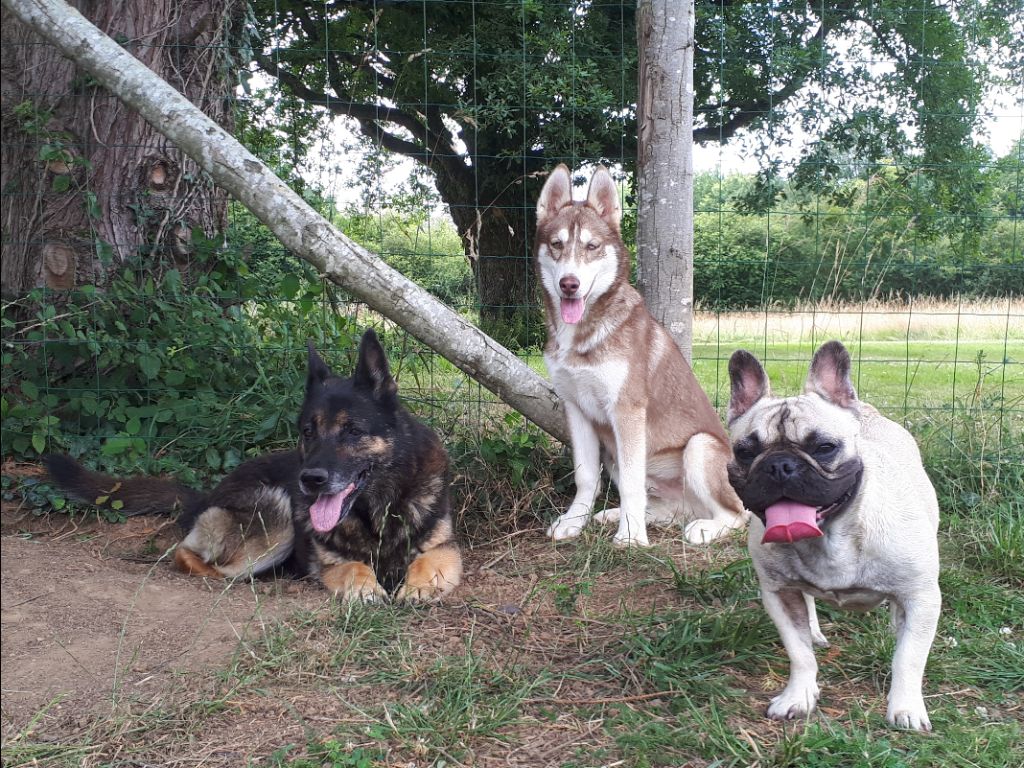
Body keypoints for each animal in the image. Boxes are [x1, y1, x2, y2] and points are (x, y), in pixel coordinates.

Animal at [46, 331, 462, 602]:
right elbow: (354, 567)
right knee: (184, 553)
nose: (310, 480)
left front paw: (417, 586)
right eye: (308, 432)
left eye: (353, 431)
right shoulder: (330, 561)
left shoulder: (446, 549)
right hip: (275, 514)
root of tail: (206, 496)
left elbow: (427, 562)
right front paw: (364, 586)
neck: (377, 511)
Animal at [536, 163, 745, 548]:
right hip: (618, 456)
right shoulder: (575, 407)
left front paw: (632, 537)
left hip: (699, 446)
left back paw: (704, 529)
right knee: (667, 507)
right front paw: (575, 522)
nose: (569, 284)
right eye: (557, 245)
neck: (583, 335)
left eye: (592, 246)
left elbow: (633, 484)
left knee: (738, 515)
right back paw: (614, 515)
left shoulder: (627, 411)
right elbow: (585, 477)